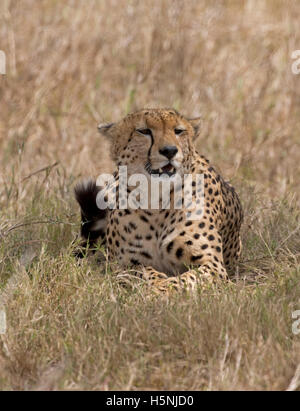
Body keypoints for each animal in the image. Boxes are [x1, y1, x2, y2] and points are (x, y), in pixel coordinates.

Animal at [74, 108, 243, 294]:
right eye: (144, 131)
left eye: (179, 131)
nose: (169, 151)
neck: (156, 198)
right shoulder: (121, 264)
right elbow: (144, 272)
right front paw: (158, 285)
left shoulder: (213, 264)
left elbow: (188, 278)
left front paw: (165, 288)